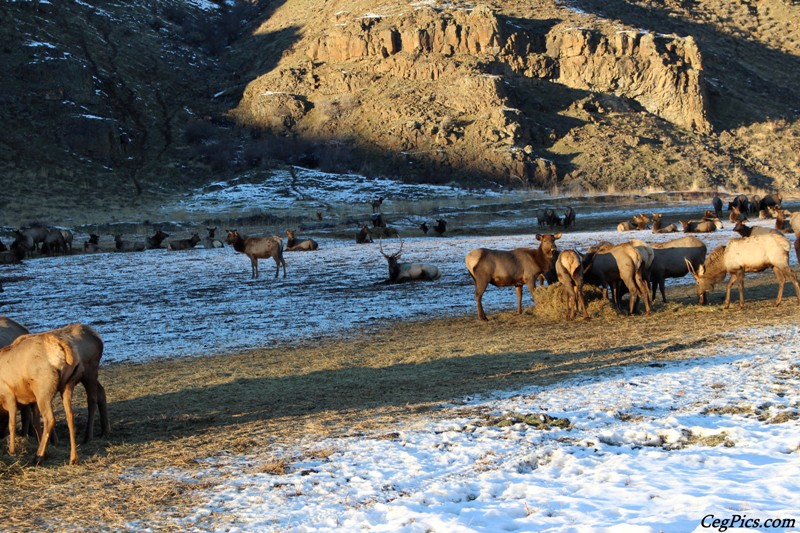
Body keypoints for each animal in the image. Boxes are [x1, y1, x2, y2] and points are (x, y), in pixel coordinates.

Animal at [0, 330, 80, 464]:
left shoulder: (9, 395)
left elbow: (12, 425)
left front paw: (11, 451)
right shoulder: (32, 400)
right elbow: (36, 423)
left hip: (43, 391)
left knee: (50, 419)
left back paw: (38, 456)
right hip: (67, 385)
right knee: (70, 416)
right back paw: (73, 458)